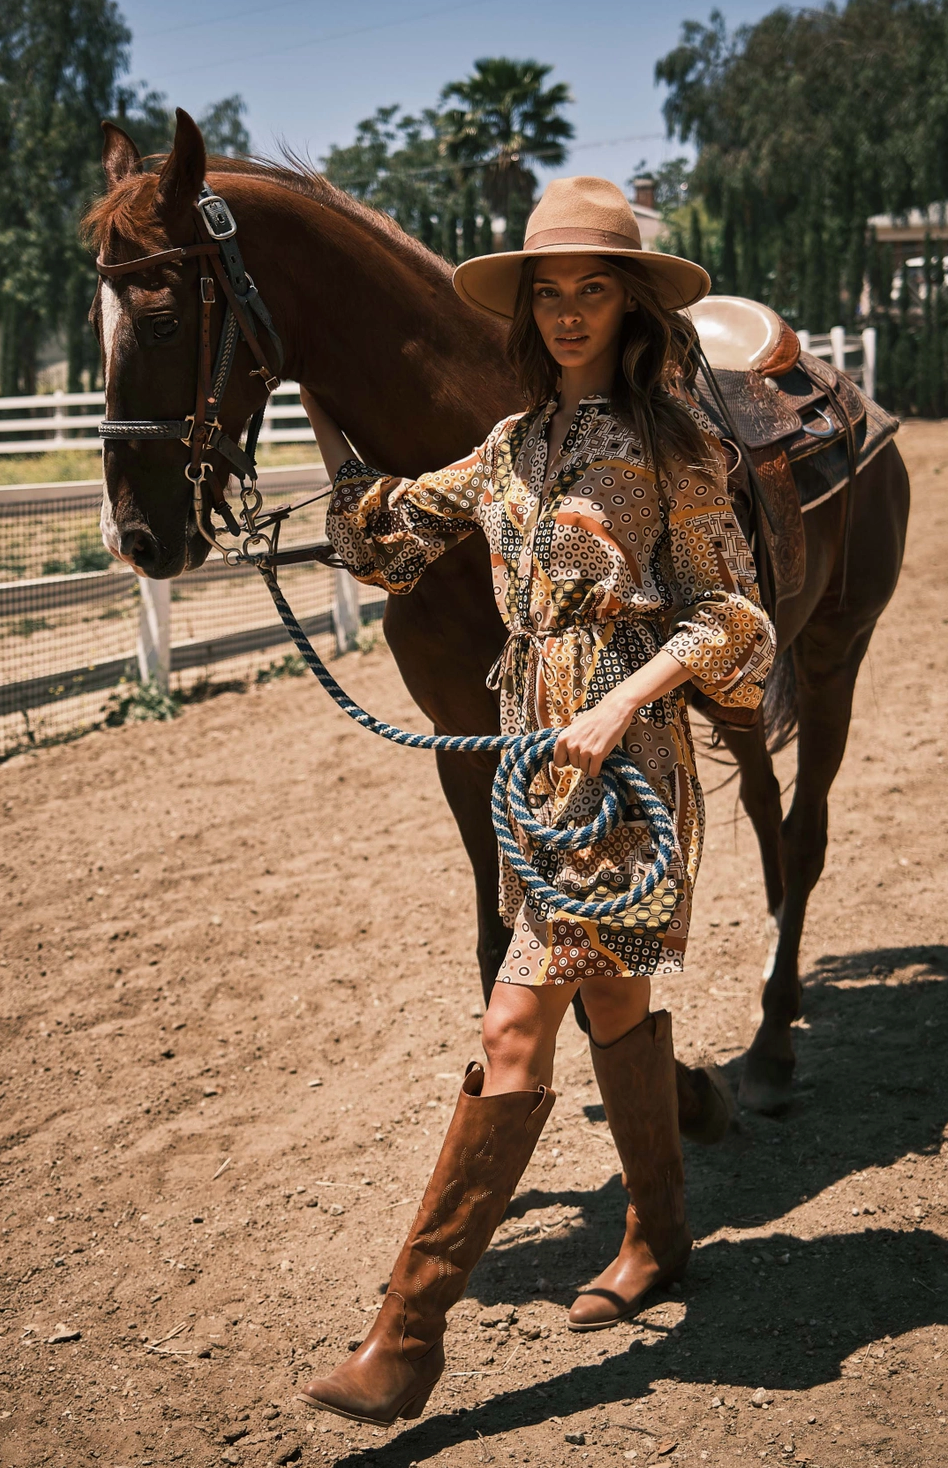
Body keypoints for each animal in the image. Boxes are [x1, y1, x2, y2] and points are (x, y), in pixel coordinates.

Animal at [89, 114, 915, 1115]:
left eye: (164, 319)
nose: (135, 536)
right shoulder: (461, 740)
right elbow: (500, 935)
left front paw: (680, 1087)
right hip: (738, 688)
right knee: (763, 808)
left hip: (837, 652)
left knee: (804, 833)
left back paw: (771, 1047)